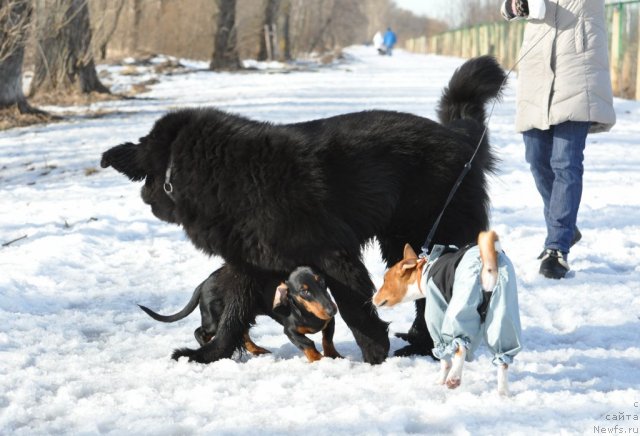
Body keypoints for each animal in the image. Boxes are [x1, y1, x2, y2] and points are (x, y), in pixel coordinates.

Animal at [101, 54, 504, 362]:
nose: (147, 200)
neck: (229, 173)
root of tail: (458, 135)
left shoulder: (333, 254)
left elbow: (356, 311)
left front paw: (373, 356)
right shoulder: (248, 263)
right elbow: (232, 315)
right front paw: (208, 355)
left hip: (429, 231)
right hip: (404, 240)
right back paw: (420, 342)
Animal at [376, 232, 520, 396]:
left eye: (385, 279)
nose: (373, 298)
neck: (426, 270)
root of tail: (488, 268)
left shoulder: (436, 310)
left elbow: (445, 359)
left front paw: (440, 382)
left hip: (462, 307)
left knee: (460, 347)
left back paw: (453, 379)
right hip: (502, 314)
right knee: (502, 360)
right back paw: (503, 394)